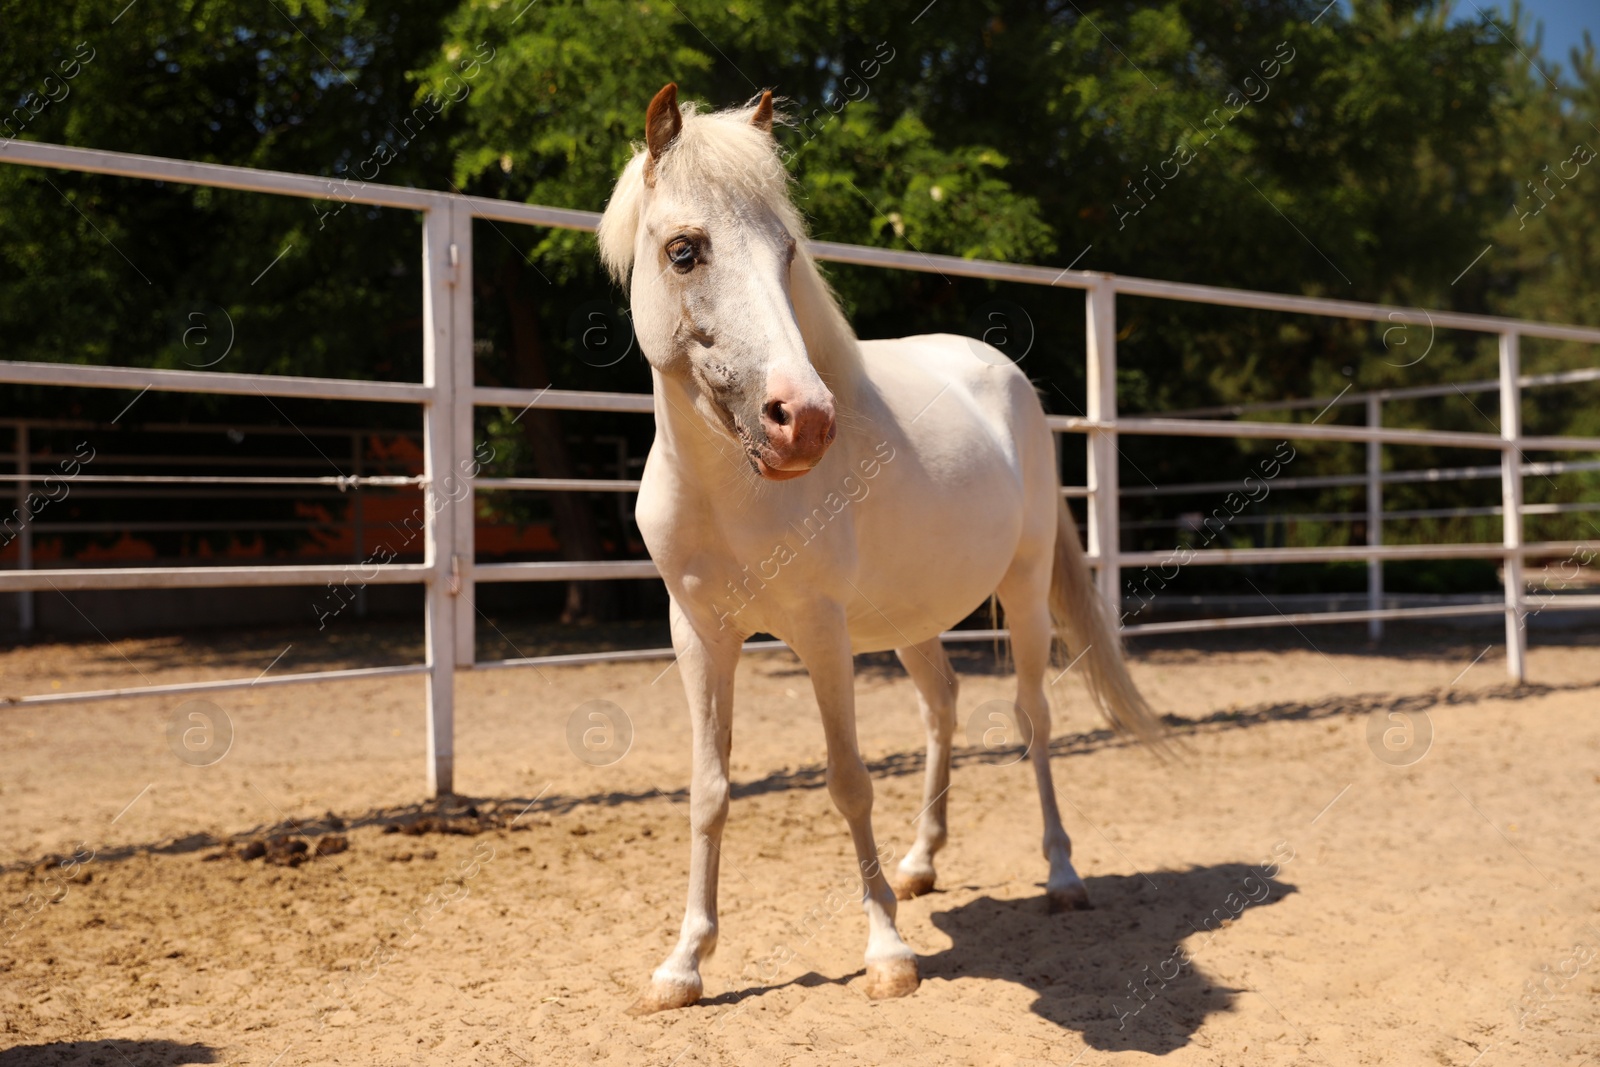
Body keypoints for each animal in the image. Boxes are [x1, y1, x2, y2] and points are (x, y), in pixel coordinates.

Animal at [595, 85, 1158, 1017]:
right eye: (684, 250)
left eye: (787, 250)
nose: (804, 420)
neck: (732, 494)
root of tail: (1003, 374)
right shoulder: (700, 636)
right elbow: (709, 790)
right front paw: (684, 964)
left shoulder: (823, 637)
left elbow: (848, 778)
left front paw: (888, 952)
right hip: (912, 622)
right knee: (943, 707)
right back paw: (923, 861)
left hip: (1025, 595)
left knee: (1031, 719)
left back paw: (1062, 873)